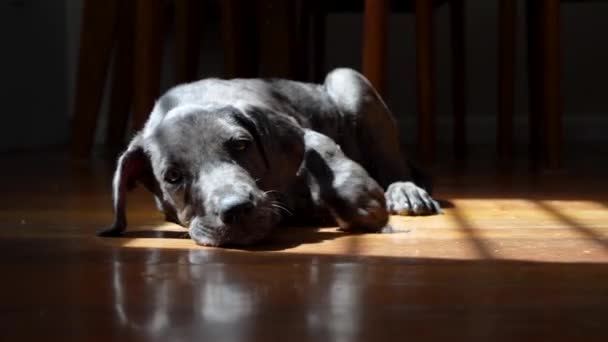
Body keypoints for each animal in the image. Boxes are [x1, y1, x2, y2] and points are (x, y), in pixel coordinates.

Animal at [101, 67, 442, 246]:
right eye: (173, 177)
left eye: (241, 145)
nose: (236, 210)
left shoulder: (302, 130)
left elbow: (321, 148)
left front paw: (363, 202)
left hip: (348, 81)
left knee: (394, 165)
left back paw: (405, 192)